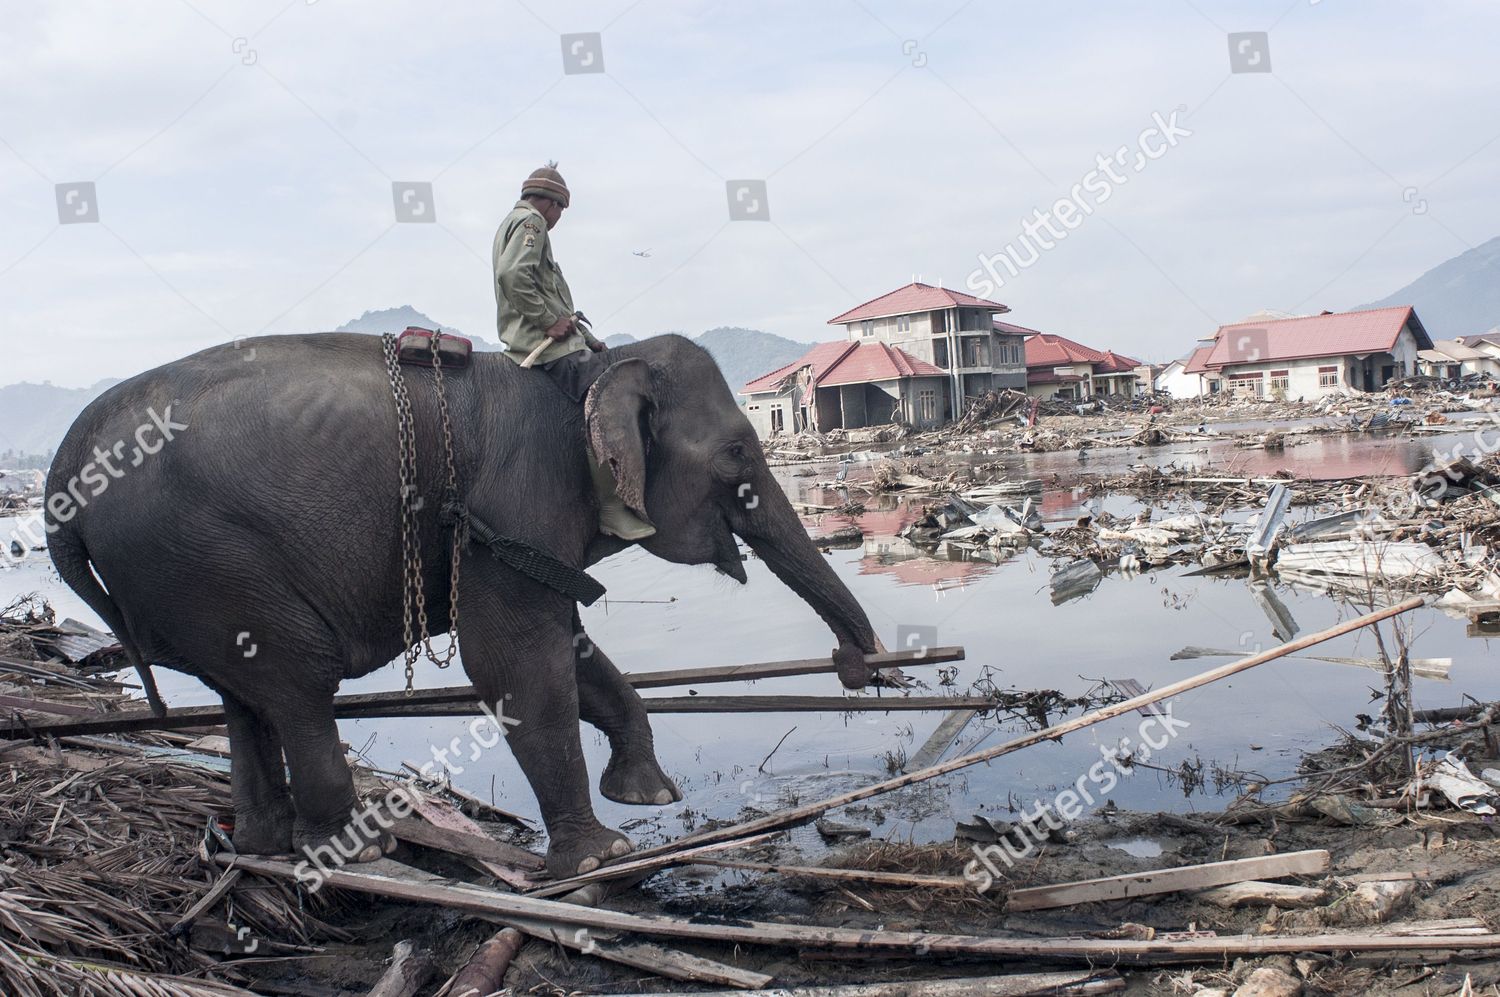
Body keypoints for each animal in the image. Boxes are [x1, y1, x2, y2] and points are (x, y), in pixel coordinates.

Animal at [49, 332, 876, 869]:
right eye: (737, 451)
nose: (852, 664)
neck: (591, 368)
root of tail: (62, 472)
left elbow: (573, 647)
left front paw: (647, 794)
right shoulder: (510, 506)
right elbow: (514, 659)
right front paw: (598, 858)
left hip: (186, 573)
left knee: (243, 693)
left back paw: (260, 844)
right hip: (202, 554)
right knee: (300, 682)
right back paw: (355, 849)